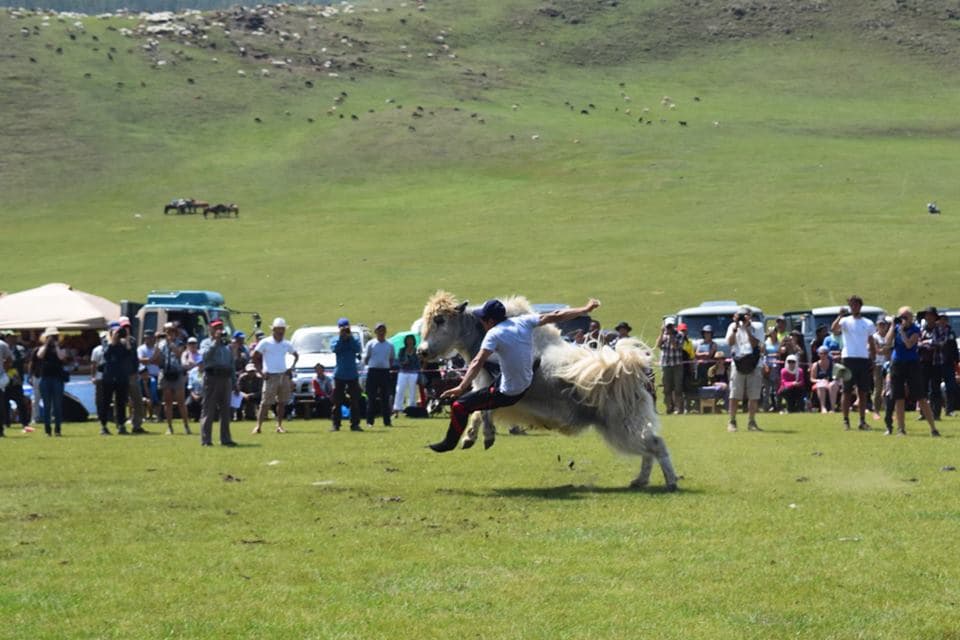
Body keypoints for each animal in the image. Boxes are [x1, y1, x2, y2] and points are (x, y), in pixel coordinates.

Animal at [416, 290, 680, 490]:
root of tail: (631, 368)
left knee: (655, 444)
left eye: (440, 320)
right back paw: (640, 481)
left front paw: (473, 437)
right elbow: (482, 412)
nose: (422, 351)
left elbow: (480, 412)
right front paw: (480, 436)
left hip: (620, 423)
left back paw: (670, 482)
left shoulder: (490, 385)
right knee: (649, 447)